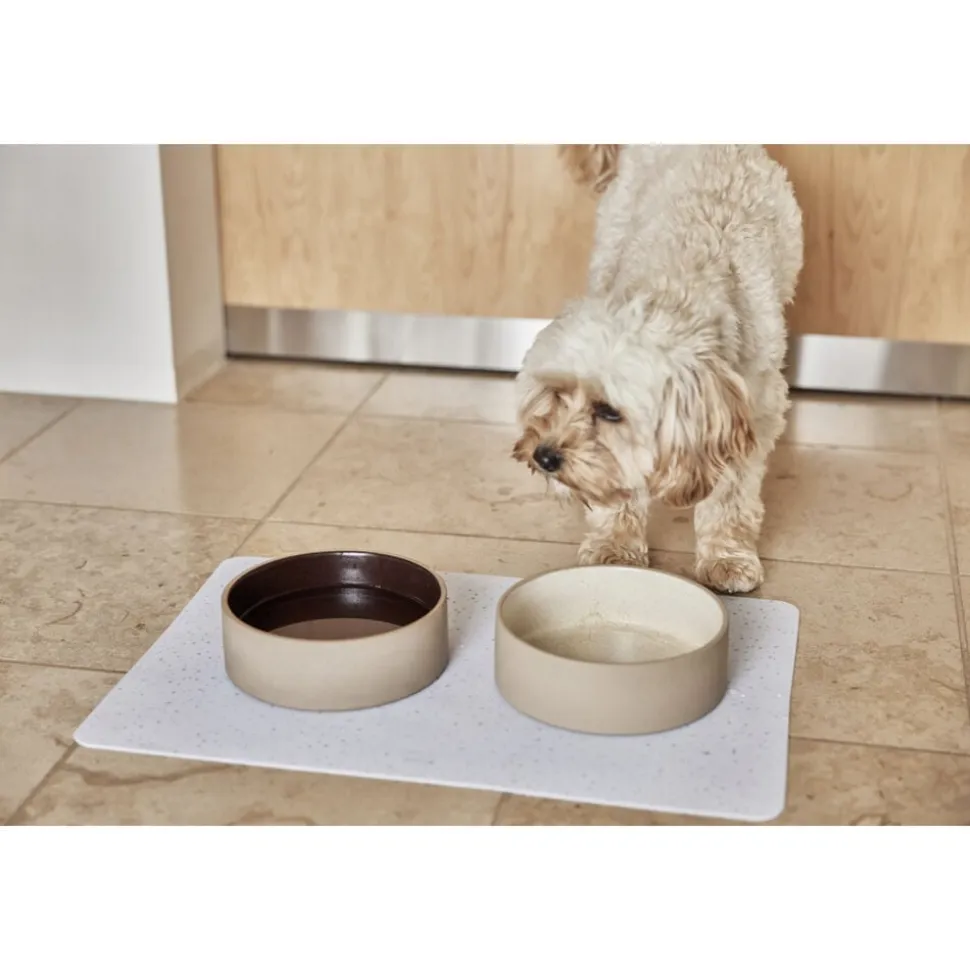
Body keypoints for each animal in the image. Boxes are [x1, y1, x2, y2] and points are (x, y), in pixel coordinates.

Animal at [513, 145, 803, 594]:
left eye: (609, 411)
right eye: (558, 394)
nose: (544, 455)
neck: (681, 280)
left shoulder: (754, 415)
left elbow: (731, 497)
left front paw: (727, 556)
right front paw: (615, 545)